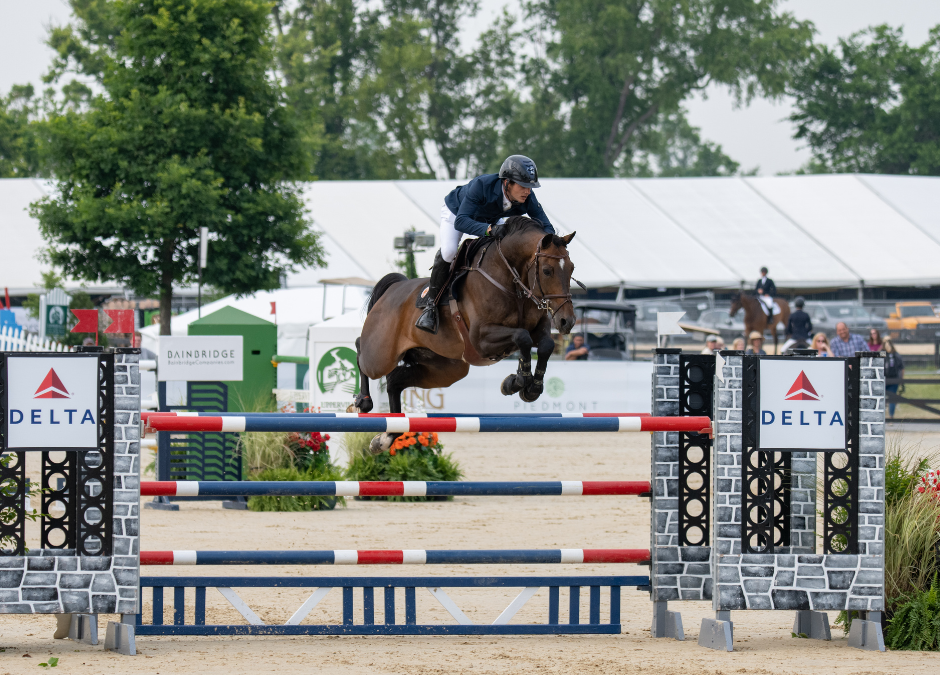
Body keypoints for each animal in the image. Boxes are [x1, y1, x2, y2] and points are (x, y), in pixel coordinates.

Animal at [350, 217, 576, 448]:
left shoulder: (538, 328)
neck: (510, 280)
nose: (567, 321)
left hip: (445, 369)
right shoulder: (481, 338)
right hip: (381, 355)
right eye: (547, 271)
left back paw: (387, 437)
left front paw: (529, 387)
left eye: (572, 268)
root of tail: (395, 287)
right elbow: (522, 337)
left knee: (395, 381)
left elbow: (545, 345)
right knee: (361, 349)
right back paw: (362, 402)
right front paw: (517, 382)